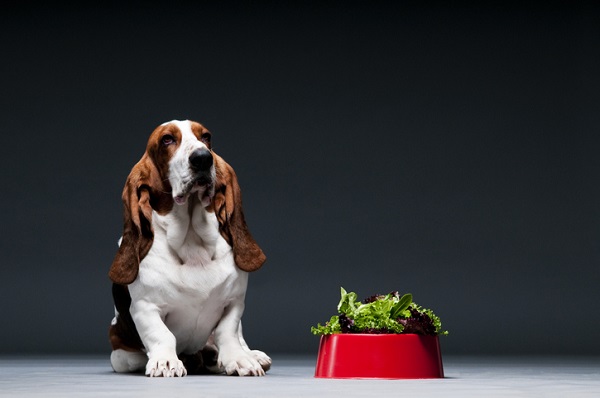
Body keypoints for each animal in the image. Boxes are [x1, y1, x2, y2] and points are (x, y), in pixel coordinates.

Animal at [108, 118, 270, 376]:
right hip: (120, 355)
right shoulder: (145, 308)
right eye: (167, 139)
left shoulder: (234, 302)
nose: (203, 158)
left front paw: (238, 359)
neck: (192, 241)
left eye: (206, 137)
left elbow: (228, 332)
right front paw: (165, 361)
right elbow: (162, 335)